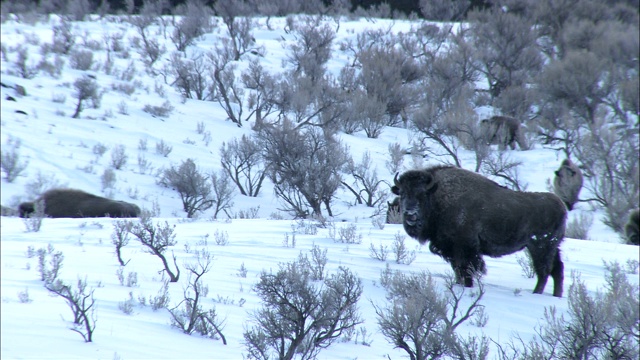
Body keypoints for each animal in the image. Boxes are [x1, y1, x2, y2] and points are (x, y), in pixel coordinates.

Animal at [392, 166, 568, 298]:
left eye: (422, 194)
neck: (438, 196)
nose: (410, 214)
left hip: (540, 247)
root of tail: (561, 205)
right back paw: (556, 295)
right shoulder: (451, 250)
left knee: (544, 271)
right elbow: (458, 270)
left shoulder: (465, 247)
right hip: (553, 248)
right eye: (402, 193)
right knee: (557, 270)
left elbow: (466, 269)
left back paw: (536, 294)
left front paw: (467, 286)